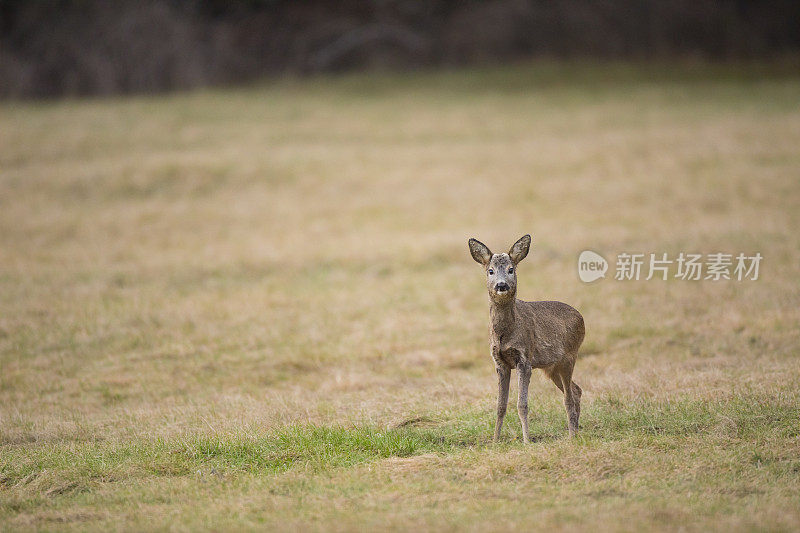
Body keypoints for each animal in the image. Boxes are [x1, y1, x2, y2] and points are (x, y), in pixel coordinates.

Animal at [468, 235, 588, 438]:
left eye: (511, 269)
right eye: (490, 271)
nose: (502, 285)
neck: (505, 333)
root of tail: (581, 317)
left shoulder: (524, 358)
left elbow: (522, 405)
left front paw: (526, 440)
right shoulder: (499, 362)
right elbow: (500, 406)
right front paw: (495, 440)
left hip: (570, 356)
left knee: (569, 397)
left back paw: (572, 435)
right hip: (552, 367)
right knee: (576, 390)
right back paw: (576, 431)